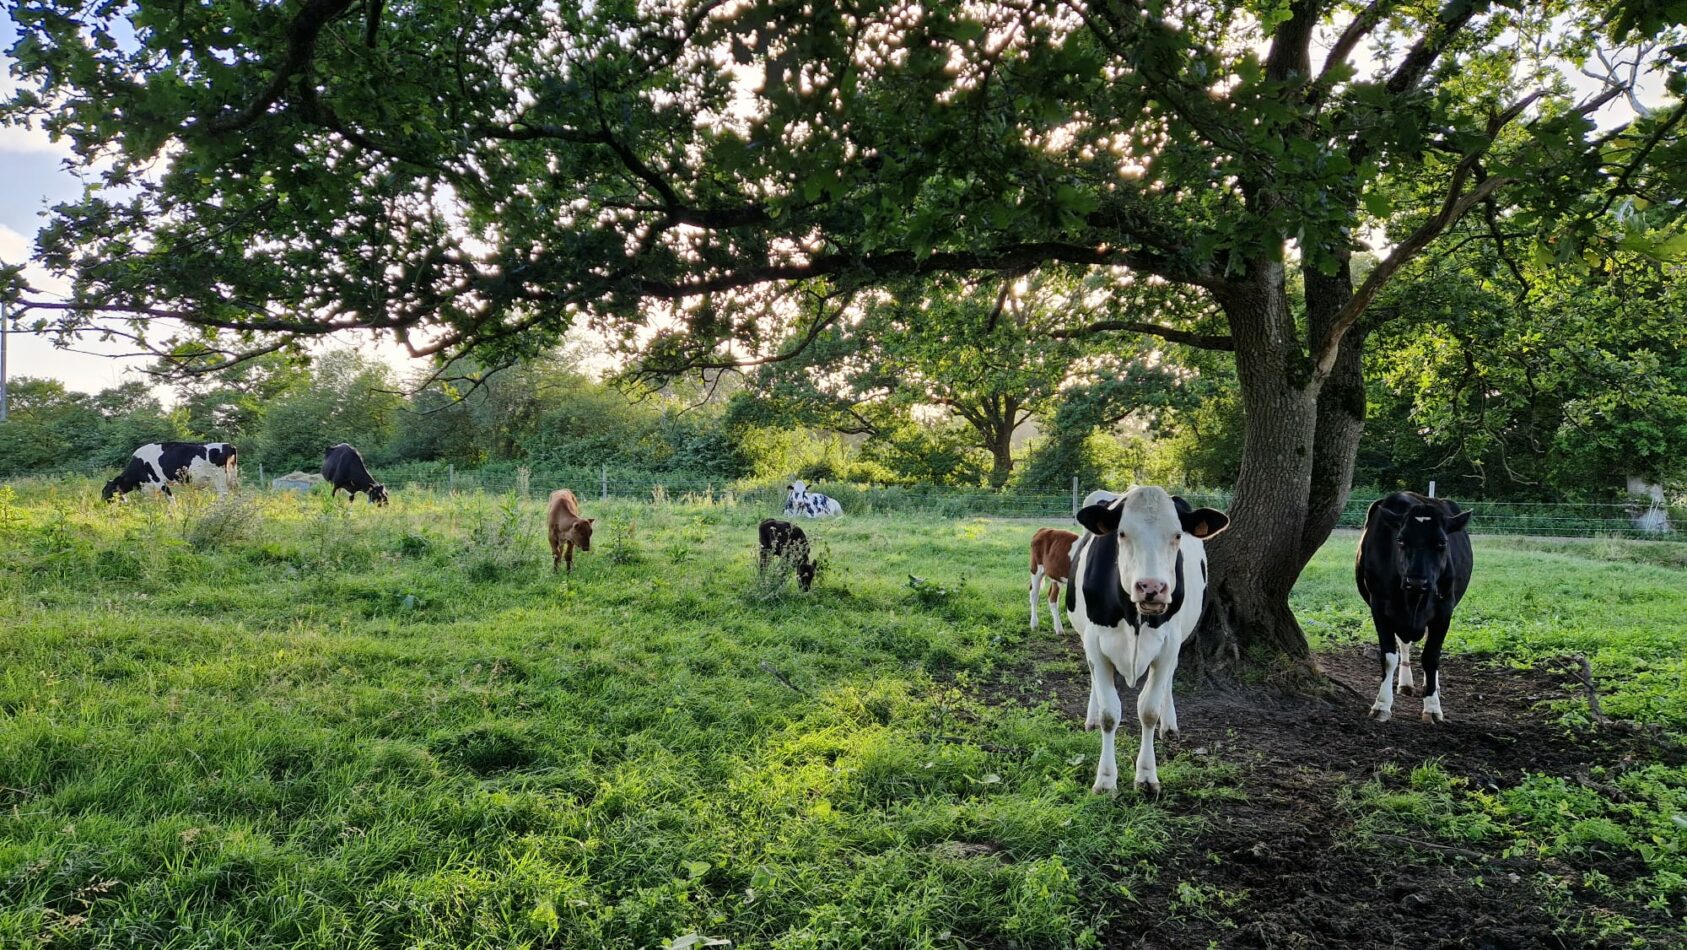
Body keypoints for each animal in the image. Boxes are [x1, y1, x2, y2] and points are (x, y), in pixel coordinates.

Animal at [102, 442, 238, 502]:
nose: (102, 501)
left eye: (106, 491)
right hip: (233, 479)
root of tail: (228, 445)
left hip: (220, 480)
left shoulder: (159, 483)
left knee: (223, 496)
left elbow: (170, 500)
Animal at [1068, 488, 1229, 794]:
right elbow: (1109, 713)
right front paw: (1105, 779)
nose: (1151, 587)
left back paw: (1170, 724)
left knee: (1167, 683)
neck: (1135, 618)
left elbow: (1149, 711)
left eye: (1177, 535)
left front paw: (1145, 776)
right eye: (1122, 533)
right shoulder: (1095, 642)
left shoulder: (1168, 645)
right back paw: (1090, 719)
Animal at [1356, 492, 1473, 724]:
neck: (1414, 599)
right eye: (1400, 540)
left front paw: (1432, 707)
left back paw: (1433, 685)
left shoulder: (1444, 610)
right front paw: (1382, 704)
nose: (1417, 581)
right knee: (1404, 643)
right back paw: (1405, 683)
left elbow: (1431, 657)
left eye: (1441, 543)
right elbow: (1389, 657)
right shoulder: (1379, 607)